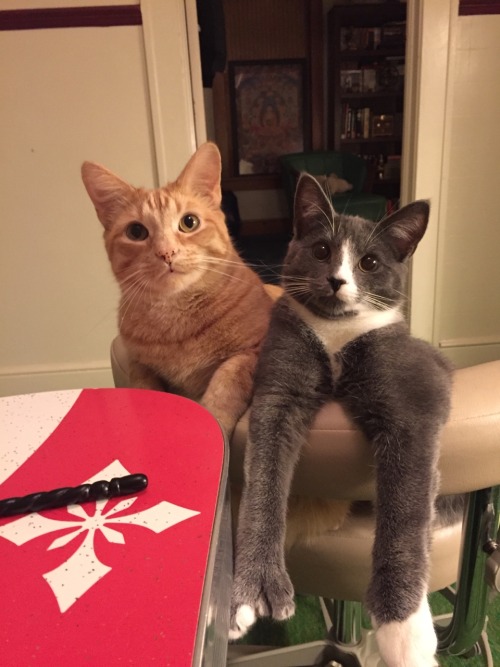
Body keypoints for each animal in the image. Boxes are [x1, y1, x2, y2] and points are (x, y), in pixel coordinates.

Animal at [84, 142, 276, 436]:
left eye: (189, 222)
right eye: (136, 232)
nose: (167, 253)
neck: (176, 319)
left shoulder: (254, 351)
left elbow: (227, 382)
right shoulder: (139, 363)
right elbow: (144, 388)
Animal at [230, 174, 458, 667]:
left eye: (369, 262)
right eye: (321, 250)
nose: (337, 279)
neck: (335, 336)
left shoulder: (416, 401)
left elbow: (405, 509)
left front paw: (403, 631)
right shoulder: (277, 391)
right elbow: (263, 480)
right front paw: (251, 590)